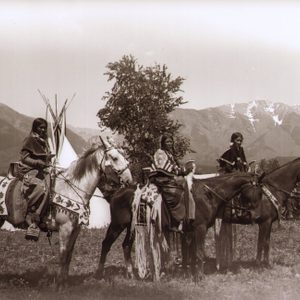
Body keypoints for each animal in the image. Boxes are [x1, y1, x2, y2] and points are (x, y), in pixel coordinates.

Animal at [0, 139, 132, 290]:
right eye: (115, 158)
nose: (129, 180)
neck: (71, 189)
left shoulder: (75, 230)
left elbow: (69, 254)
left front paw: (65, 282)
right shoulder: (65, 229)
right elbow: (63, 255)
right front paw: (59, 285)